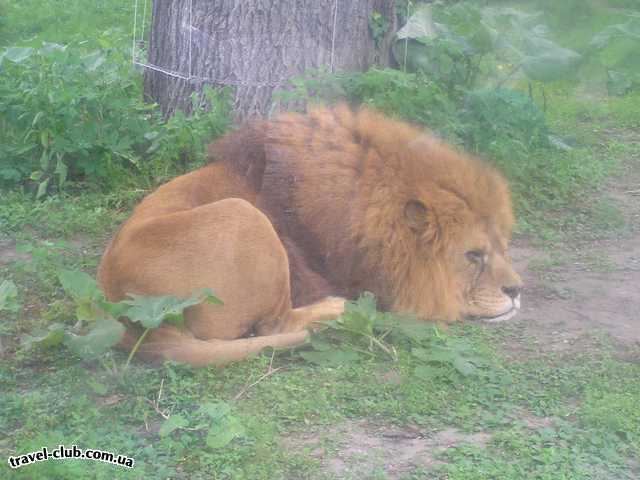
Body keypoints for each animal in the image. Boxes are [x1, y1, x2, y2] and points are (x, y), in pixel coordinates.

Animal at [97, 106, 524, 368]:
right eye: (473, 255)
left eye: (503, 246)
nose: (518, 291)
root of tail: (122, 307)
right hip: (245, 216)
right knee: (275, 326)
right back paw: (337, 308)